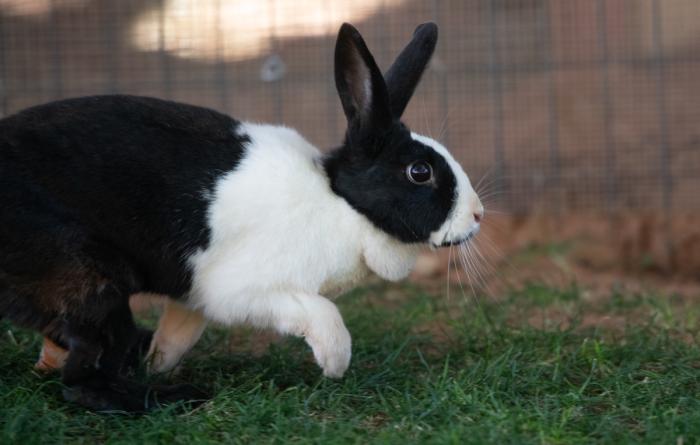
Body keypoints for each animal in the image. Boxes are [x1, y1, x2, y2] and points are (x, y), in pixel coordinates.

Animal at [0, 22, 483, 412]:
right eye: (419, 172)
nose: (478, 215)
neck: (341, 204)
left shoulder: (193, 296)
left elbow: (179, 333)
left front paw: (158, 359)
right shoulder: (246, 291)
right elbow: (324, 315)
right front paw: (333, 364)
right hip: (92, 282)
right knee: (83, 380)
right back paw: (174, 398)